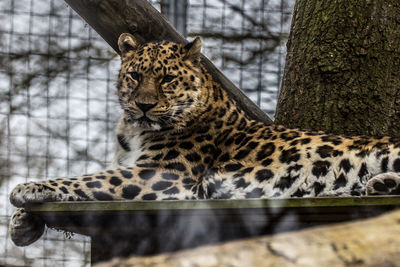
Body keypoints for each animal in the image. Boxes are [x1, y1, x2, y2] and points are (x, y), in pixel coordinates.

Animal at [7, 33, 400, 247]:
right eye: (134, 76)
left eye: (166, 79)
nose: (143, 105)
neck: (133, 130)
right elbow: (90, 178)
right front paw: (22, 224)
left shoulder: (161, 175)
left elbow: (88, 180)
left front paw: (27, 188)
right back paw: (379, 186)